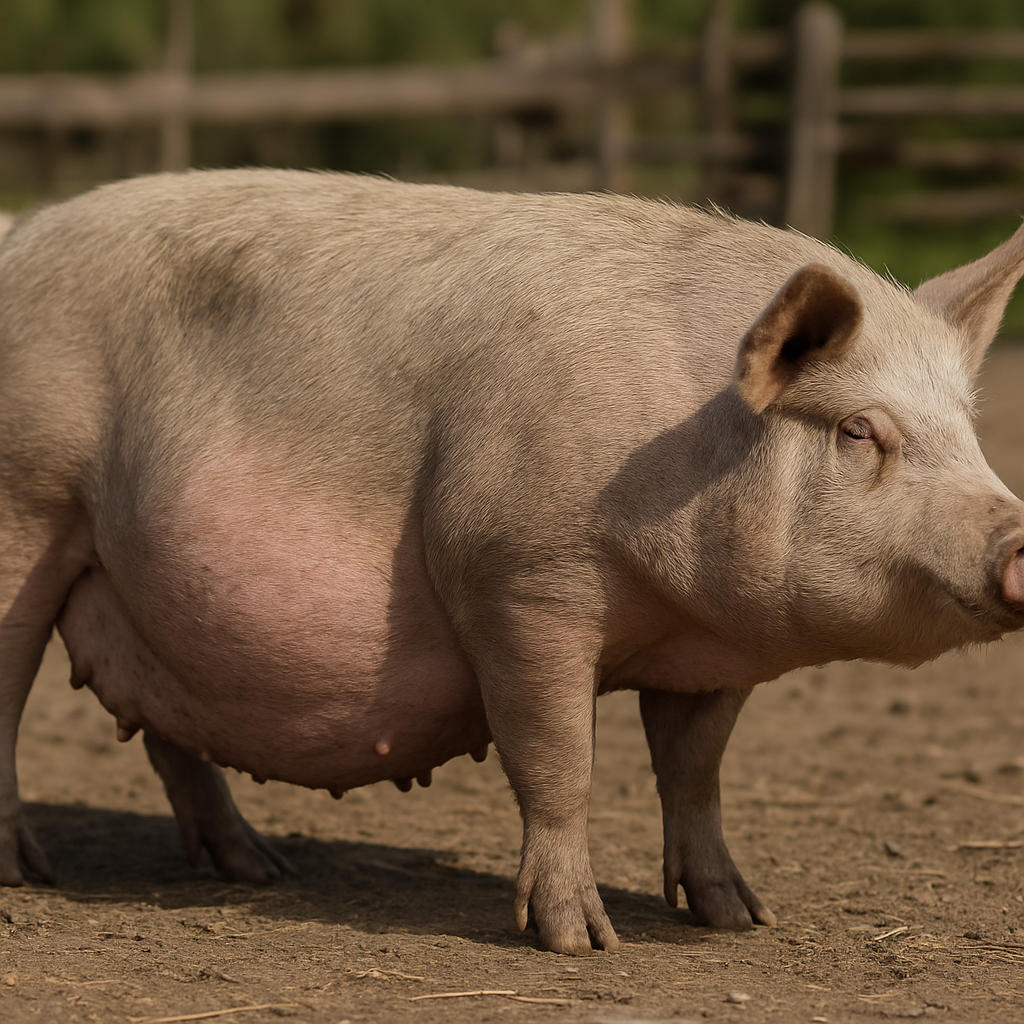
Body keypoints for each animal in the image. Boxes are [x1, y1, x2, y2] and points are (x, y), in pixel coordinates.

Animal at [1, 169, 1023, 956]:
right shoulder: (517, 573)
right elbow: (559, 756)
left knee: (171, 727)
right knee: (12, 696)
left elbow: (695, 774)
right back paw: (28, 874)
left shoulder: (708, 655)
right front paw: (582, 942)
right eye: (859, 429)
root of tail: (21, 232)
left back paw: (256, 867)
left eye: (968, 430)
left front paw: (740, 919)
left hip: (144, 583)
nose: (1018, 540)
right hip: (28, 505)